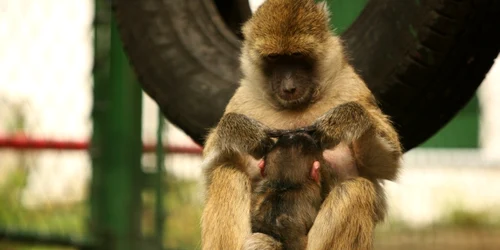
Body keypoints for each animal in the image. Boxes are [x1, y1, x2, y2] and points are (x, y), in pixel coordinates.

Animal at [200, 0, 402, 249]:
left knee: (356, 188)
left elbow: (384, 166)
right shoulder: (242, 98)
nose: (289, 86)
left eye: (297, 56)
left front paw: (346, 120)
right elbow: (210, 172)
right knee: (227, 174)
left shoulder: (353, 86)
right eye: (274, 58)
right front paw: (241, 132)